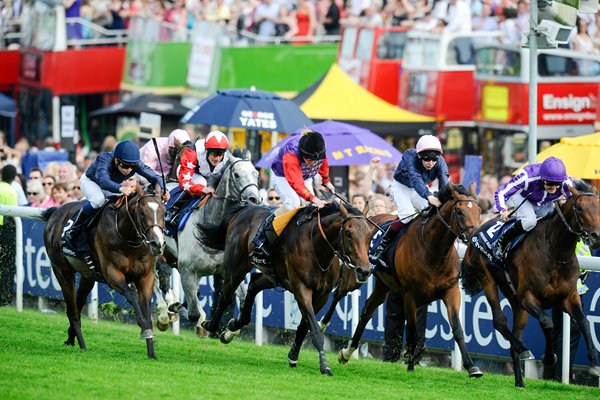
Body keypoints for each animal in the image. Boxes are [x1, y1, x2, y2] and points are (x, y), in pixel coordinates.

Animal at [43, 188, 166, 360]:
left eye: (164, 211)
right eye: (142, 213)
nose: (157, 244)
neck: (128, 239)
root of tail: (55, 213)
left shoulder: (145, 277)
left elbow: (147, 308)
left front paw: (152, 352)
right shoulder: (112, 273)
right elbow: (132, 295)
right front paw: (143, 329)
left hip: (87, 277)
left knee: (78, 305)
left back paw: (71, 338)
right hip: (62, 271)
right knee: (72, 312)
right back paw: (82, 345)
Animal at [164, 148, 260, 332]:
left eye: (256, 174)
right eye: (237, 174)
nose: (255, 199)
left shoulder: (227, 270)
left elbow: (242, 298)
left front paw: (229, 331)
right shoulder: (187, 269)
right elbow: (194, 314)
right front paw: (181, 309)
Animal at [199, 203, 372, 376]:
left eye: (369, 234)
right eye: (348, 233)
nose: (365, 270)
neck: (317, 249)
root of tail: (244, 209)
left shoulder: (322, 295)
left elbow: (303, 327)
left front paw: (293, 355)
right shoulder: (301, 289)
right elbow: (315, 330)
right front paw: (325, 366)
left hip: (274, 276)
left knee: (253, 284)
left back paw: (233, 327)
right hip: (236, 267)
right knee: (226, 296)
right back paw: (211, 326)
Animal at [338, 183, 482, 376]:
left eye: (479, 210)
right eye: (459, 211)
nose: (473, 237)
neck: (432, 250)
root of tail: (366, 218)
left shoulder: (451, 291)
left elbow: (458, 329)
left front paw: (472, 367)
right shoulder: (410, 295)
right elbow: (413, 332)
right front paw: (411, 366)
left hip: (383, 284)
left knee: (367, 310)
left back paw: (347, 352)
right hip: (357, 271)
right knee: (337, 293)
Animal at [462, 183, 600, 386]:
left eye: (599, 207)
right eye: (580, 208)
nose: (596, 236)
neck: (555, 253)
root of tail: (477, 229)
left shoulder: (568, 297)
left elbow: (584, 322)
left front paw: (595, 363)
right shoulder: (528, 297)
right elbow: (547, 322)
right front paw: (549, 357)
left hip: (516, 303)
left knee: (513, 335)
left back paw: (520, 382)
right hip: (487, 279)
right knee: (499, 321)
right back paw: (524, 348)